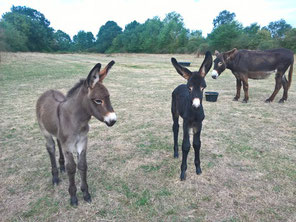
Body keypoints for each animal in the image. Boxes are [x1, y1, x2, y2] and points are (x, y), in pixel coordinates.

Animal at [35, 60, 117, 205]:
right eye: (98, 100)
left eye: (108, 97)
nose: (113, 120)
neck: (77, 121)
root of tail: (47, 91)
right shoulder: (68, 145)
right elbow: (72, 168)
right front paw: (73, 197)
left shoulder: (82, 141)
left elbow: (82, 165)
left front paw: (86, 194)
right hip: (44, 130)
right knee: (50, 147)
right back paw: (55, 177)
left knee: (58, 143)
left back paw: (61, 166)